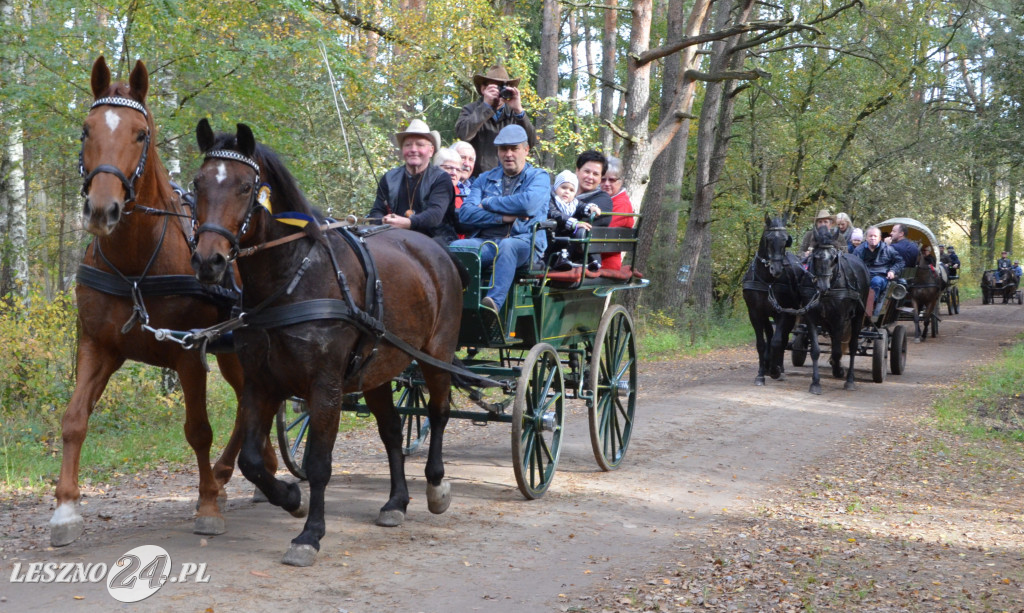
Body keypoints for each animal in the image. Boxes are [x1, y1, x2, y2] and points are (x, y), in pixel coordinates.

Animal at [51, 56, 272, 548]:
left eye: (140, 134)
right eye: (86, 130)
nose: (102, 210)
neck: (135, 264)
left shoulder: (189, 353)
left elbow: (198, 430)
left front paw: (207, 504)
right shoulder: (98, 345)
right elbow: (74, 419)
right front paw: (66, 508)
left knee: (256, 402)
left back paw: (231, 475)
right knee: (251, 402)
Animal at [190, 121, 462, 568]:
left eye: (246, 187)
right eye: (198, 183)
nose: (208, 261)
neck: (290, 279)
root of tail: (432, 248)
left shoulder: (325, 385)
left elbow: (318, 463)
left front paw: (309, 534)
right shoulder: (262, 381)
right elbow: (251, 459)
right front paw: (290, 498)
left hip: (436, 354)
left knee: (439, 413)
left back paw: (435, 486)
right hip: (377, 369)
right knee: (391, 431)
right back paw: (396, 502)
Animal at [741, 211, 802, 384]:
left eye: (786, 240)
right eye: (768, 239)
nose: (776, 269)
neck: (767, 282)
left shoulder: (783, 312)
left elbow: (777, 342)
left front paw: (775, 370)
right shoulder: (755, 313)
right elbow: (761, 344)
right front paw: (761, 374)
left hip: (791, 314)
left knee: (782, 339)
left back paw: (779, 368)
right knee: (769, 333)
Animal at [794, 228, 868, 395]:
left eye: (834, 258)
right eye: (815, 257)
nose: (823, 286)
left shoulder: (839, 318)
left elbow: (837, 350)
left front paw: (838, 369)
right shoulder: (811, 317)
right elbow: (816, 350)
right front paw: (815, 383)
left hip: (858, 316)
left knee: (852, 346)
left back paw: (849, 380)